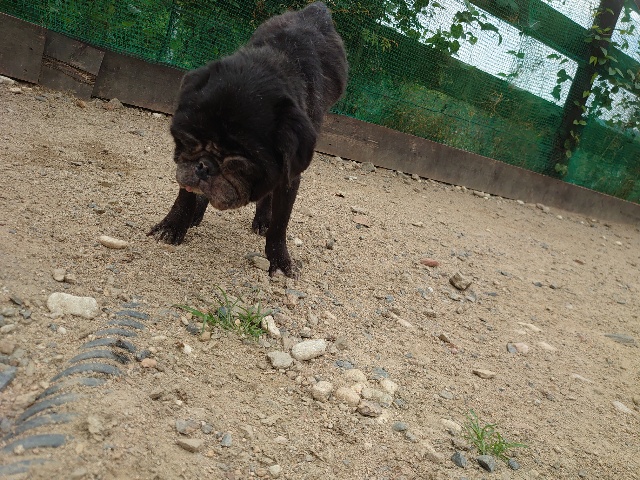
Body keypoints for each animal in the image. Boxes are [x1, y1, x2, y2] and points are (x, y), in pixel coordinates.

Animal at [148, 1, 348, 278]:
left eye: (241, 165)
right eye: (188, 141)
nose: (204, 166)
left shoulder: (289, 177)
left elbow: (279, 225)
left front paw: (279, 261)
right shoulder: (185, 164)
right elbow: (184, 195)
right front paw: (174, 225)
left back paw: (262, 219)